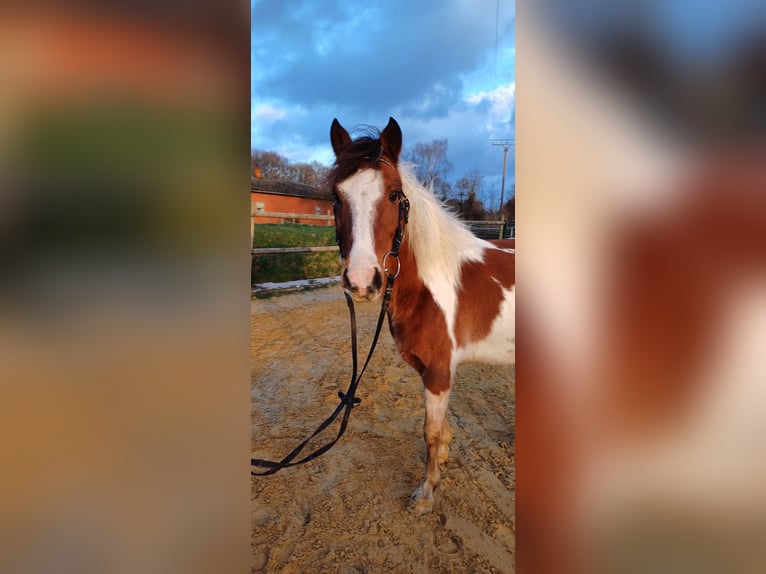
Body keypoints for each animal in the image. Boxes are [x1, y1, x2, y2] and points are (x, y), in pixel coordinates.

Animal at [328, 118, 516, 516]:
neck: (432, 282)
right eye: (336, 197)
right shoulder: (427, 369)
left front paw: (426, 491)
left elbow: (429, 431)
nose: (362, 281)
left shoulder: (440, 372)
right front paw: (442, 460)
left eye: (394, 194)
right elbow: (439, 428)